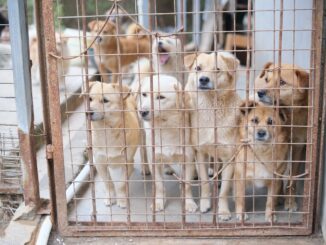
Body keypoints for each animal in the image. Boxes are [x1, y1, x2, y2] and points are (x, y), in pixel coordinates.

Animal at [137, 74, 197, 212]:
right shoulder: (154, 160)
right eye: (144, 94)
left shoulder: (188, 160)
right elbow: (159, 184)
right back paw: (145, 168)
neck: (166, 127)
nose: (142, 112)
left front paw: (189, 203)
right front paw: (159, 202)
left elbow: (186, 185)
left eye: (161, 97)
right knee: (143, 151)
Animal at [185, 51, 241, 218]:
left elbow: (224, 191)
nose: (203, 79)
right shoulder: (200, 153)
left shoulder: (229, 158)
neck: (211, 109)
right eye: (198, 68)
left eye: (217, 70)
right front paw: (205, 203)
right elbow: (204, 183)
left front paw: (223, 211)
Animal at [255, 62, 308, 211]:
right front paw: (277, 197)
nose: (259, 92)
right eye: (267, 80)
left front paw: (290, 201)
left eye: (282, 82)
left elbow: (292, 175)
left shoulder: (298, 145)